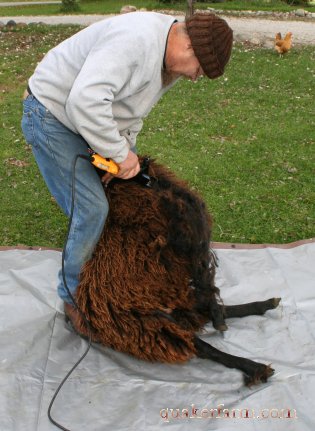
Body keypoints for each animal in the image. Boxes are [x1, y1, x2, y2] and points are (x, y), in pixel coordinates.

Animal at [73, 157, 282, 386]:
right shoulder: (184, 240)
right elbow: (205, 274)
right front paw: (219, 320)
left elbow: (206, 278)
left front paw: (219, 317)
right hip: (158, 326)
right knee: (203, 347)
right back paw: (256, 366)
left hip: (176, 305)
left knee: (207, 311)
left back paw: (263, 305)